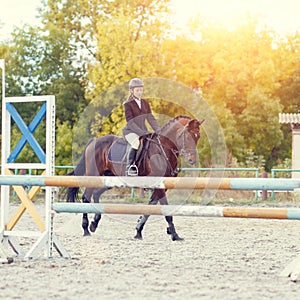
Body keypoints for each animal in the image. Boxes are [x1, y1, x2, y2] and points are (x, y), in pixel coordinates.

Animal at [67, 115, 205, 241]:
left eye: (198, 136)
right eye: (187, 136)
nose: (192, 160)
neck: (163, 149)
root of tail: (93, 141)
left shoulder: (162, 186)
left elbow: (150, 206)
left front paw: (139, 229)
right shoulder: (159, 185)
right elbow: (165, 209)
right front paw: (174, 234)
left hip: (111, 178)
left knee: (95, 194)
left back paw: (94, 223)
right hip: (94, 175)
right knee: (86, 197)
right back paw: (86, 229)